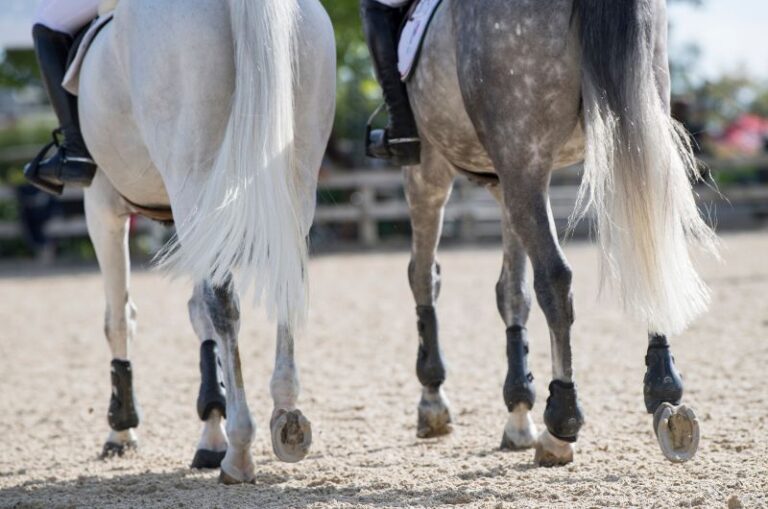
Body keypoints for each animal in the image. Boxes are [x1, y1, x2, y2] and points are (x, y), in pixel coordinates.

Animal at [75, 0, 335, 483]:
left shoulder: (101, 204)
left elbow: (119, 317)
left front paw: (122, 429)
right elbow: (197, 316)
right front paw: (210, 432)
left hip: (191, 176)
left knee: (222, 303)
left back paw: (240, 449)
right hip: (293, 177)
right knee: (283, 283)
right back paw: (286, 419)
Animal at [401, 0, 717, 465]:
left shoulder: (430, 170)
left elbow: (425, 277)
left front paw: (433, 399)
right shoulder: (504, 182)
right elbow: (512, 292)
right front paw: (517, 412)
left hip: (519, 156)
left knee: (554, 278)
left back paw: (561, 422)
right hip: (629, 124)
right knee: (649, 247)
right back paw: (665, 397)